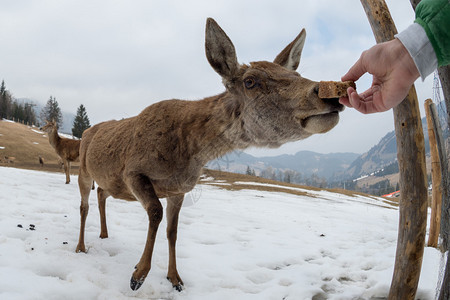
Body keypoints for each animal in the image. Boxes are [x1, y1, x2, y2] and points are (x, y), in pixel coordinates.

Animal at [76, 17, 344, 292]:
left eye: (297, 74)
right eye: (250, 81)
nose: (328, 94)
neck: (187, 153)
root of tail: (87, 132)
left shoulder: (179, 189)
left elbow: (173, 231)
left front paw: (175, 278)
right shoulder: (133, 171)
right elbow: (156, 213)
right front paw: (138, 275)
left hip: (111, 183)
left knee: (102, 192)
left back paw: (104, 234)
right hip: (83, 169)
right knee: (84, 204)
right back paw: (81, 246)